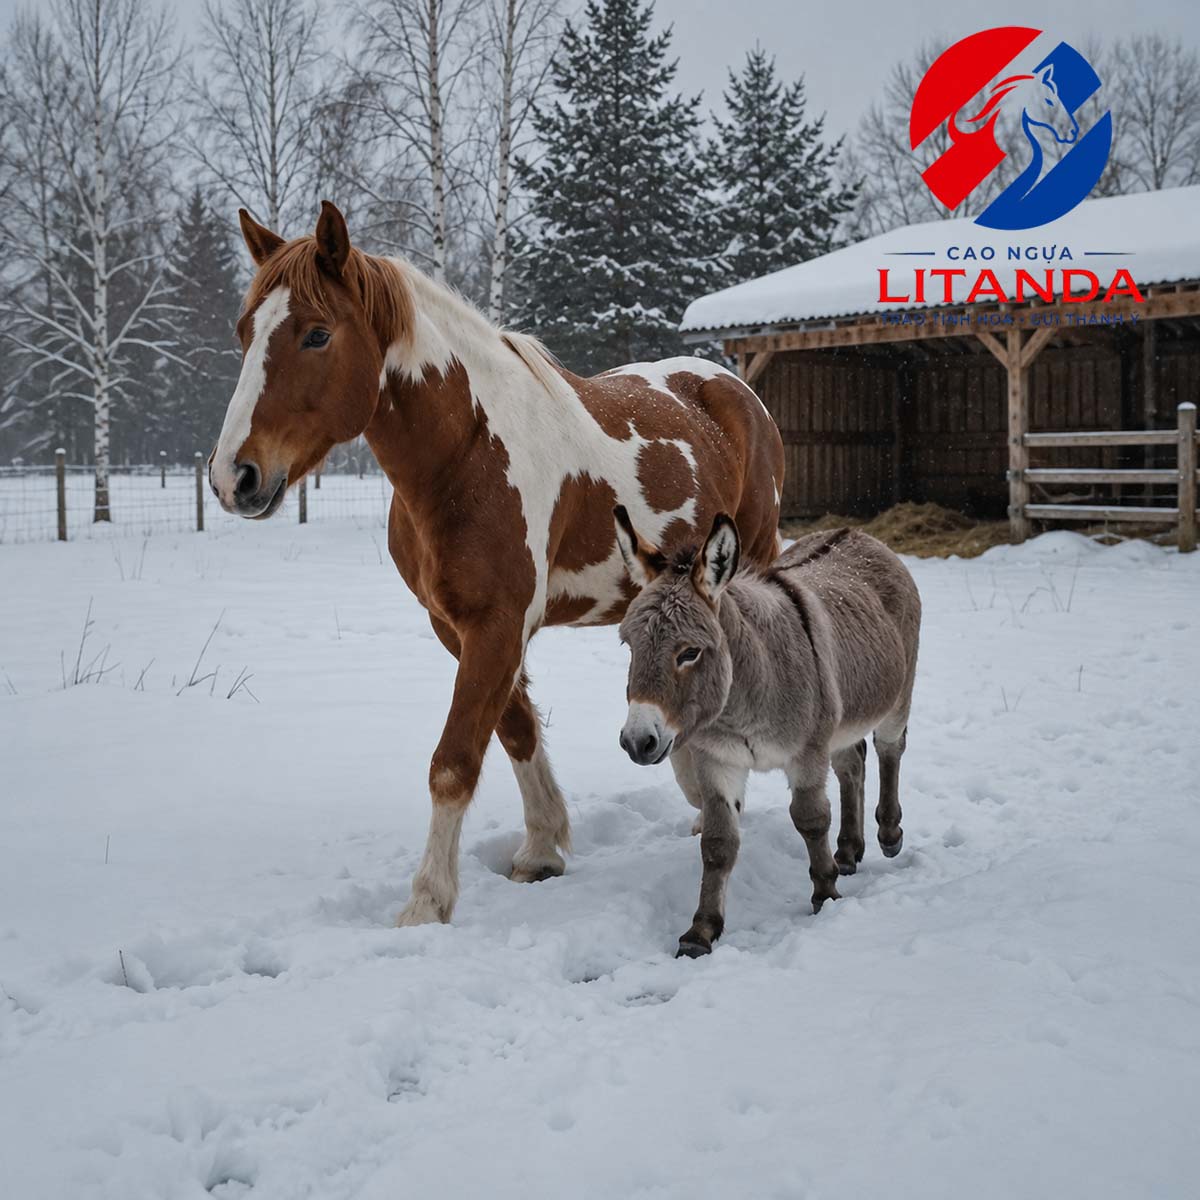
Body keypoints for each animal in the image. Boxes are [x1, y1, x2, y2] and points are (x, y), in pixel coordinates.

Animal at [209, 201, 785, 927]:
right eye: (244, 332)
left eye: (316, 334)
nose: (233, 477)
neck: (468, 451)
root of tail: (736, 389)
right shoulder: (460, 625)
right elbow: (514, 729)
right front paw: (541, 848)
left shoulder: (498, 624)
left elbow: (454, 760)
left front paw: (427, 901)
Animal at [614, 514, 921, 957]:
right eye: (628, 645)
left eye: (689, 653)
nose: (637, 741)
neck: (740, 705)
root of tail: (858, 534)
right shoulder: (718, 762)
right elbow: (717, 844)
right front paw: (702, 930)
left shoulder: (807, 755)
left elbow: (810, 819)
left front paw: (825, 895)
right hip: (841, 721)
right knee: (852, 764)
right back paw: (848, 850)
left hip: (897, 695)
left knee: (889, 748)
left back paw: (888, 833)